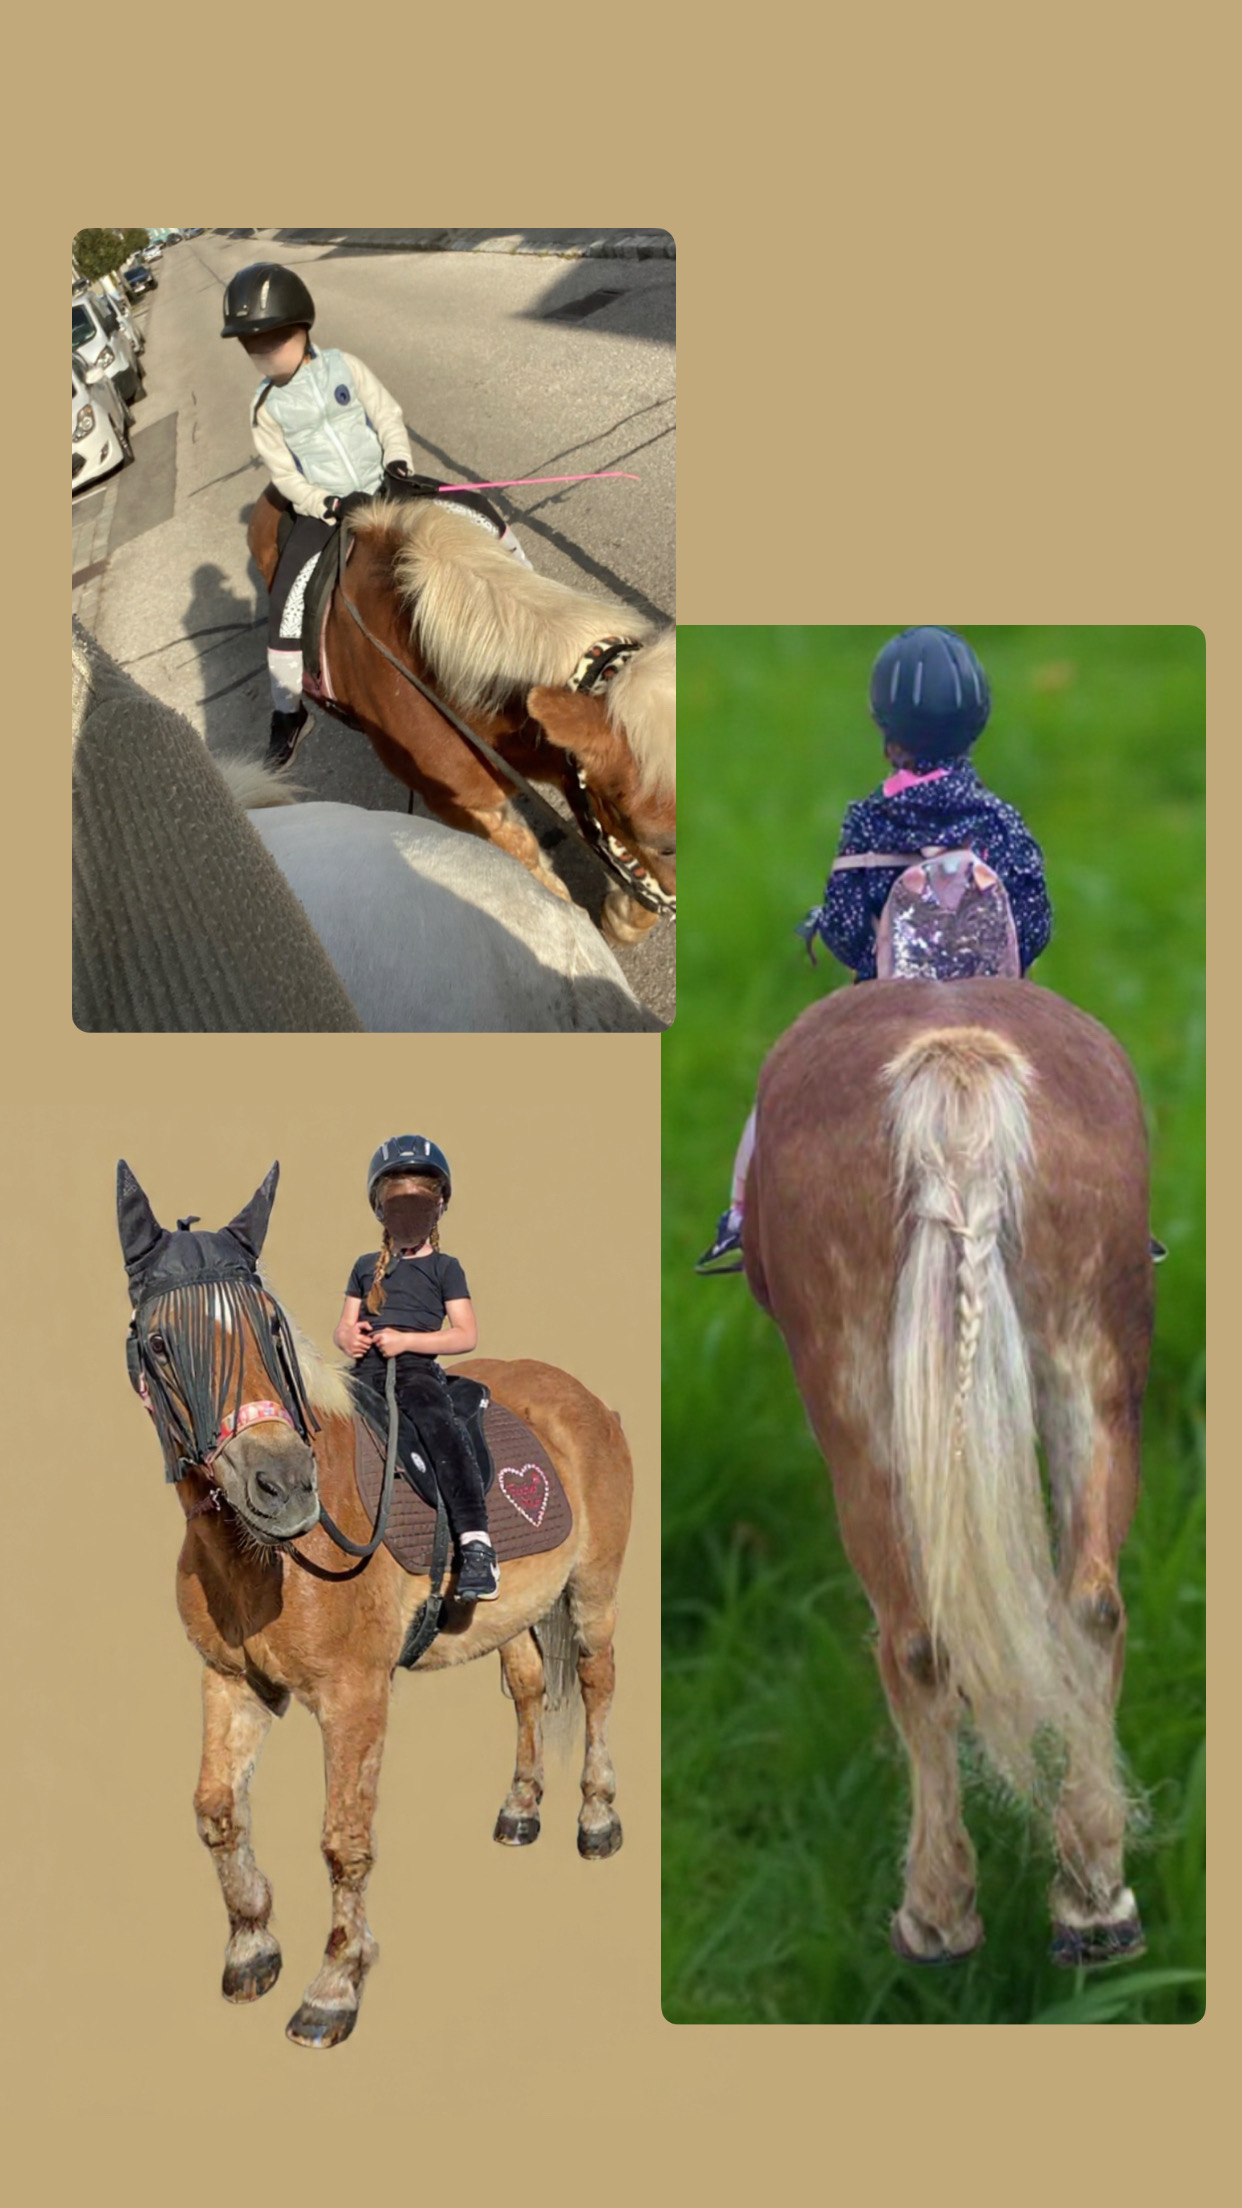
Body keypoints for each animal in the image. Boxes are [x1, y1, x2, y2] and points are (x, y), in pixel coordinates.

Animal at [118, 1160, 632, 2049]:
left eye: (272, 1329)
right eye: (159, 1342)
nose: (284, 1486)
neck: (268, 1559)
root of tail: (589, 1401)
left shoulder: (355, 1696)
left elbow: (344, 1841)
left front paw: (334, 1987)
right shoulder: (231, 1682)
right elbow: (217, 1810)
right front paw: (251, 1948)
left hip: (593, 1590)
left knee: (597, 1686)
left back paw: (596, 1821)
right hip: (513, 1614)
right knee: (530, 1687)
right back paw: (521, 1810)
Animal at [742, 979, 1155, 1965]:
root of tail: (955, 1068)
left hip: (856, 1394)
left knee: (917, 1641)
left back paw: (935, 1913)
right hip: (1094, 1357)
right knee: (1092, 1604)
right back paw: (1095, 1899)